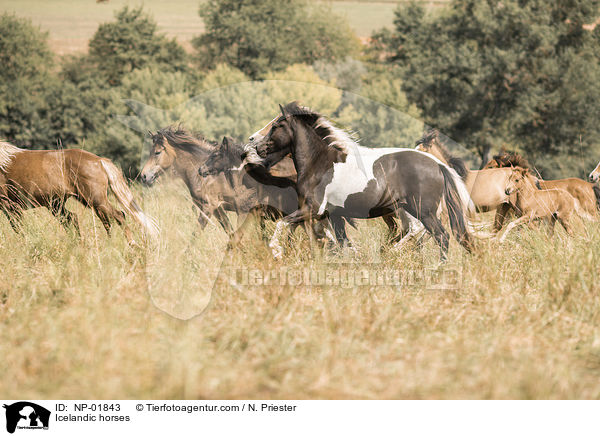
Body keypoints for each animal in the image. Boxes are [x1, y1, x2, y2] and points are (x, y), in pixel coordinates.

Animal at [0, 141, 159, 240]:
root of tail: (100, 161)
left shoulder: (9, 206)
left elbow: (20, 230)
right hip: (61, 205)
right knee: (80, 220)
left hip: (94, 200)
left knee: (118, 215)